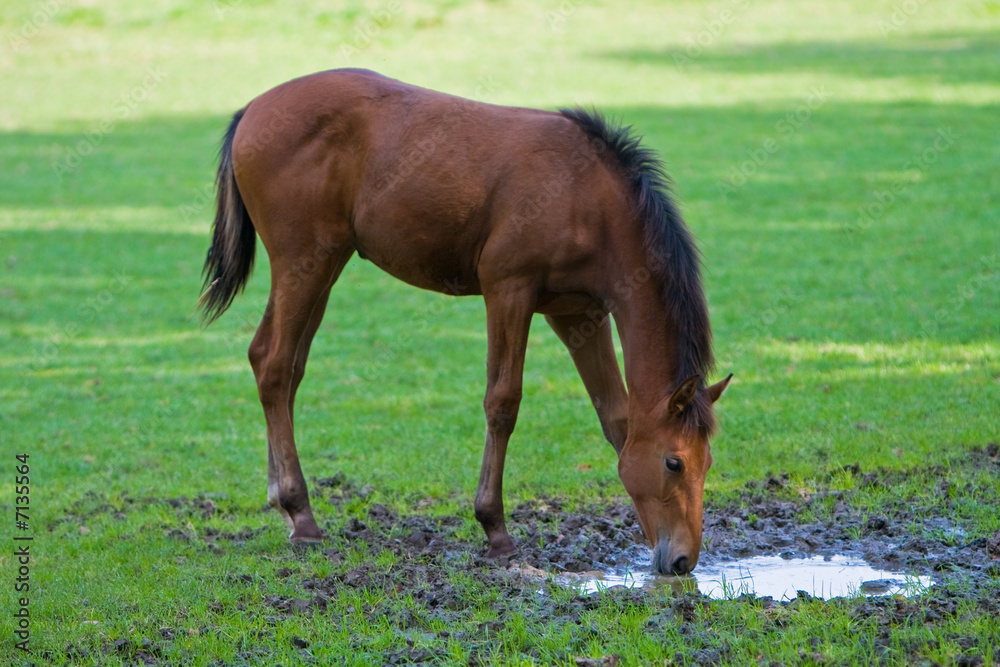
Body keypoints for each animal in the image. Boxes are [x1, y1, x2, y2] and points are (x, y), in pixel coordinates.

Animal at [200, 68, 731, 575]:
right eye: (674, 462)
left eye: (708, 461)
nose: (683, 561)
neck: (585, 197)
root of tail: (252, 109)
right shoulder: (508, 292)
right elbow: (503, 403)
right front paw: (495, 530)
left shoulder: (578, 313)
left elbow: (616, 417)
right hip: (303, 262)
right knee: (275, 365)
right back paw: (301, 512)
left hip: (325, 265)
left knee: (277, 363)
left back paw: (285, 504)